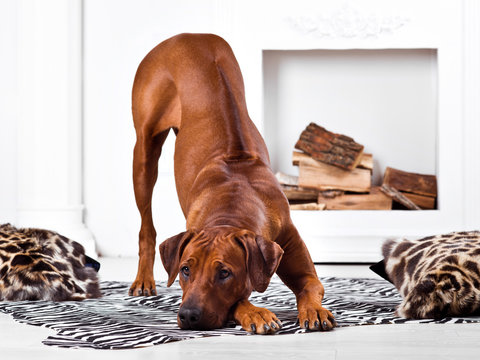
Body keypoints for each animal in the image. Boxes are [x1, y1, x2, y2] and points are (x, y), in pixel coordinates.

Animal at [129, 33, 336, 334]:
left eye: (224, 273)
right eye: (185, 270)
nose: (188, 316)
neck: (233, 200)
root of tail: (186, 35)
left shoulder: (295, 254)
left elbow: (311, 285)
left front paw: (315, 310)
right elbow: (238, 301)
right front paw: (257, 313)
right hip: (144, 151)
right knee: (146, 226)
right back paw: (144, 280)